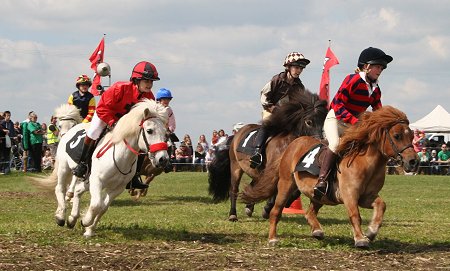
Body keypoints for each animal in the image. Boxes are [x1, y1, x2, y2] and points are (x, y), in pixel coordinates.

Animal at [49, 100, 169, 238]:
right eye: (149, 130)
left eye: (166, 133)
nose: (163, 159)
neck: (120, 156)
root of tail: (71, 130)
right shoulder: (97, 181)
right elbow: (96, 204)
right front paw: (86, 221)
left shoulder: (117, 188)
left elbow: (102, 208)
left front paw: (89, 229)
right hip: (64, 168)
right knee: (60, 189)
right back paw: (60, 216)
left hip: (88, 180)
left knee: (78, 190)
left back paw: (72, 219)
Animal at [207, 90, 326, 222]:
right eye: (309, 122)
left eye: (323, 122)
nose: (320, 142)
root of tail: (237, 134)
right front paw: (267, 209)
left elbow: (294, 193)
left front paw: (277, 205)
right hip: (236, 167)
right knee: (234, 189)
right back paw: (233, 214)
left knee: (253, 185)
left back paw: (249, 207)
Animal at [241, 105, 420, 249]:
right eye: (397, 136)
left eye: (412, 136)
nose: (413, 162)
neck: (367, 163)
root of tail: (292, 144)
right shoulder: (349, 195)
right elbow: (355, 215)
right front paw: (360, 239)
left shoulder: (367, 197)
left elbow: (381, 205)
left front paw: (371, 231)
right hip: (286, 185)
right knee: (276, 211)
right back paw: (272, 239)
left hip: (319, 195)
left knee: (309, 212)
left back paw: (317, 231)